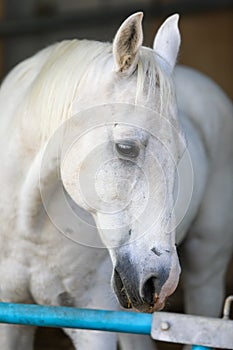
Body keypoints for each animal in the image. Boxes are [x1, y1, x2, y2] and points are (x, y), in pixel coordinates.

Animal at [0, 11, 232, 350]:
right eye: (125, 147)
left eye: (180, 153)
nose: (161, 281)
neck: (27, 229)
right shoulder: (12, 319)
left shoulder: (93, 324)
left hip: (206, 273)